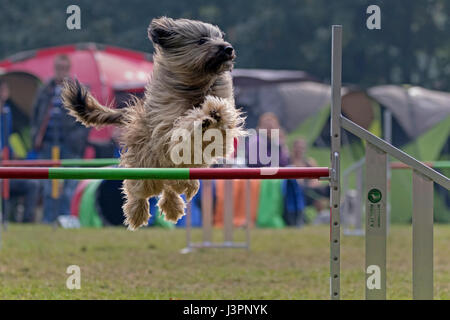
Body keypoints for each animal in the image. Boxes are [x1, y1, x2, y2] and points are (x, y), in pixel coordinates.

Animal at [61, 16, 244, 230]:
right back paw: (137, 213)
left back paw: (176, 203)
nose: (228, 48)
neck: (197, 87)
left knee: (171, 187)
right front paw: (202, 118)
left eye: (219, 37)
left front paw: (214, 111)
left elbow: (221, 119)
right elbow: (181, 128)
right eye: (201, 40)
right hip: (146, 164)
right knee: (139, 189)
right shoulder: (166, 127)